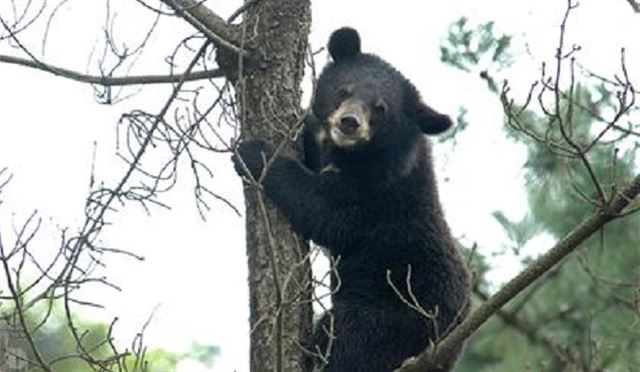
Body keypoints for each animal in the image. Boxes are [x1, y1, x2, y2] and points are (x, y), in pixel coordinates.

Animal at [235, 27, 470, 370]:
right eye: (344, 90)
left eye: (380, 108)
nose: (349, 122)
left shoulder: (373, 194)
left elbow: (323, 209)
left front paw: (253, 154)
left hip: (388, 319)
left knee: (346, 342)